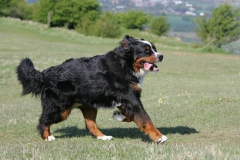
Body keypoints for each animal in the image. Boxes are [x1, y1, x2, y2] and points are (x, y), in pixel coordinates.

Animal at [16, 35, 167, 144]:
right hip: (60, 109)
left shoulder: (127, 100)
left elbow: (132, 117)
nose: (161, 56)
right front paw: (159, 137)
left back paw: (103, 137)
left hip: (88, 105)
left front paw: (117, 116)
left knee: (90, 125)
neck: (126, 64)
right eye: (146, 50)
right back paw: (47, 137)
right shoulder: (130, 99)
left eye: (154, 48)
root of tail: (45, 73)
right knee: (43, 120)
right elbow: (146, 119)